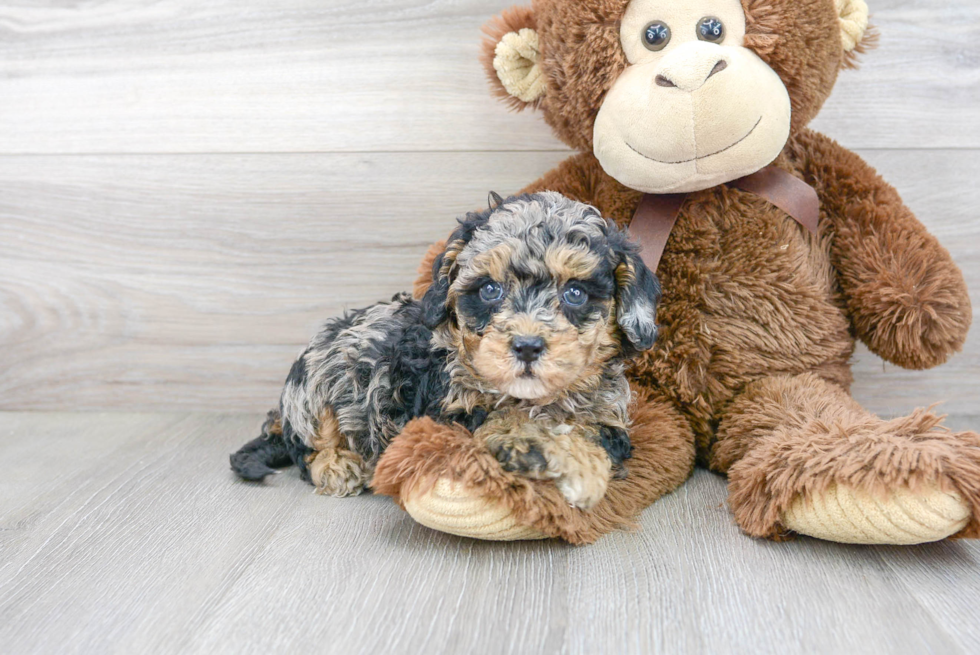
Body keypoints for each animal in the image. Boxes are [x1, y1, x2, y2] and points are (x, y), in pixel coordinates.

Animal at [230, 192, 660, 510]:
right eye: (490, 290)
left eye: (575, 293)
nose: (527, 346)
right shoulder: (448, 412)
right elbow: (501, 422)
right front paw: (540, 450)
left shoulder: (607, 419)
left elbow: (592, 436)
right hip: (321, 380)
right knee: (305, 447)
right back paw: (337, 465)